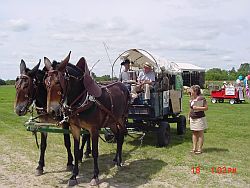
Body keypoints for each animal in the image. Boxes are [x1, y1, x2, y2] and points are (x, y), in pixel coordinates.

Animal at [43, 52, 129, 186]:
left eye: (58, 82)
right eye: (46, 82)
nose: (52, 111)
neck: (82, 101)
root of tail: (122, 85)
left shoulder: (94, 129)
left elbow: (95, 152)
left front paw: (95, 176)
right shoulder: (75, 128)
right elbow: (76, 150)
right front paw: (73, 176)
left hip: (121, 118)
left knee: (120, 137)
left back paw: (119, 162)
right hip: (111, 122)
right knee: (117, 135)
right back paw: (116, 159)